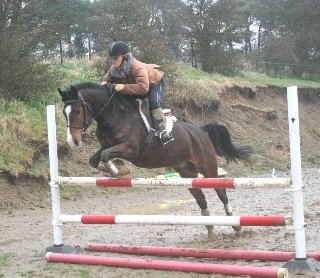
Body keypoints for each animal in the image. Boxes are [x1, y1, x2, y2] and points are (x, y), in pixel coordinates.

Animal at [57, 81, 252, 238]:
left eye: (77, 110)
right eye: (64, 113)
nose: (73, 141)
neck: (114, 115)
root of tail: (201, 131)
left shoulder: (131, 149)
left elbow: (106, 156)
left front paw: (118, 170)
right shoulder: (106, 145)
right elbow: (95, 159)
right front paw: (116, 170)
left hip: (207, 167)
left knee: (221, 191)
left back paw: (234, 224)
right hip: (187, 172)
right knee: (201, 198)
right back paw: (210, 227)